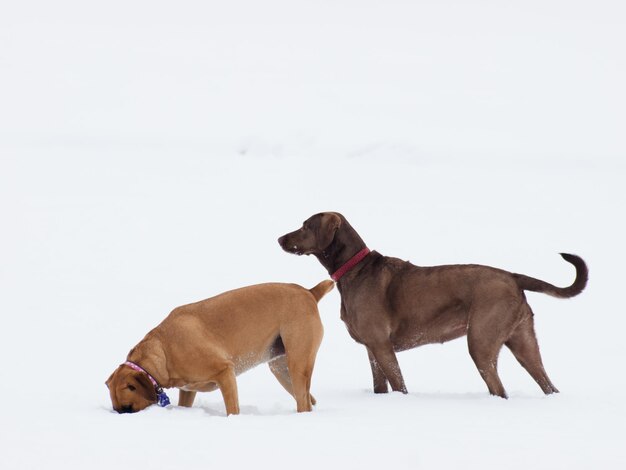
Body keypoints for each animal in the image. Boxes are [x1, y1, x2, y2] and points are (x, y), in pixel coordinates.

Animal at [105, 280, 334, 414]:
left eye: (128, 407)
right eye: (117, 408)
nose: (121, 416)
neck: (163, 351)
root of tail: (309, 292)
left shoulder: (224, 372)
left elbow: (232, 408)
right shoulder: (188, 390)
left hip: (297, 363)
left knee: (303, 400)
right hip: (281, 369)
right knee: (307, 398)